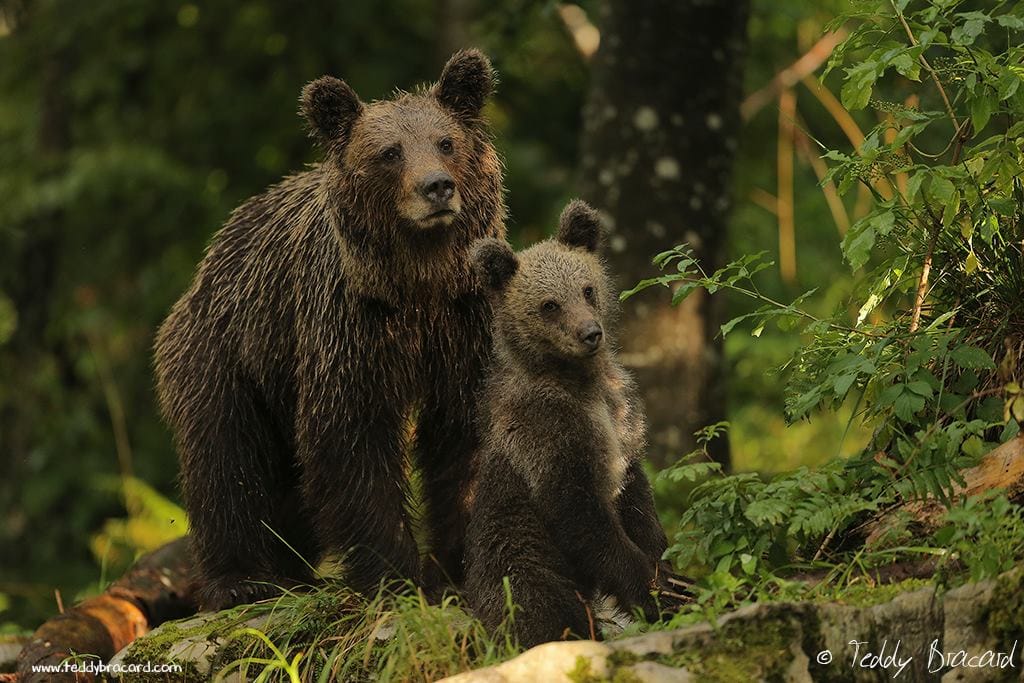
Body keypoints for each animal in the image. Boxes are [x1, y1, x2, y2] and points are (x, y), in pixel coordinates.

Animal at [153, 49, 506, 611]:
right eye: (389, 152)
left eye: (446, 141)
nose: (437, 187)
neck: (418, 282)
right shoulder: (347, 327)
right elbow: (349, 440)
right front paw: (393, 575)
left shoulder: (464, 324)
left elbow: (464, 441)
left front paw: (458, 566)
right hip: (225, 354)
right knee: (225, 460)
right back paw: (241, 579)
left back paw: (290, 568)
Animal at [463, 200, 688, 648]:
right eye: (550, 304)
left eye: (587, 289)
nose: (590, 333)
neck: (579, 382)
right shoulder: (546, 431)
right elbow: (582, 516)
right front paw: (656, 591)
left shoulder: (622, 414)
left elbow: (638, 502)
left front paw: (669, 571)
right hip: (519, 557)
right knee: (540, 606)